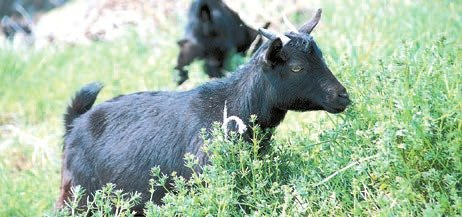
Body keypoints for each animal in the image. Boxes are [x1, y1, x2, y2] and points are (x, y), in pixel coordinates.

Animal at [56, 9, 348, 214]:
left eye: (321, 56)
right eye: (297, 67)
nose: (342, 96)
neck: (232, 106)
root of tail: (74, 123)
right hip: (77, 196)